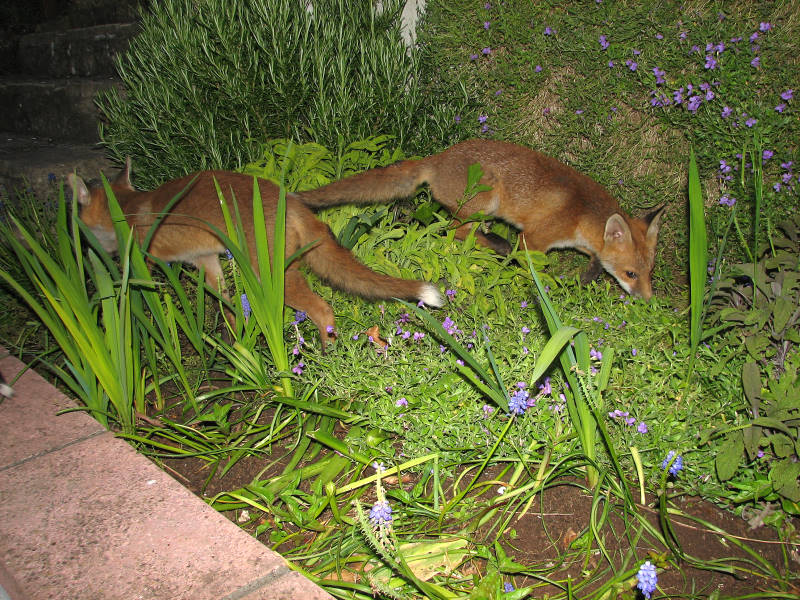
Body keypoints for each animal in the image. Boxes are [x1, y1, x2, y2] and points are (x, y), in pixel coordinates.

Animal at [67, 160, 443, 346]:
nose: (81, 242)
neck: (129, 209)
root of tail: (290, 198)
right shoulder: (206, 262)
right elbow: (228, 308)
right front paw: (239, 349)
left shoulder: (144, 259)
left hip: (272, 275)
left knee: (322, 310)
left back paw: (325, 358)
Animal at [297, 139, 666, 299]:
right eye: (631, 274)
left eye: (650, 273)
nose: (648, 301)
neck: (581, 214)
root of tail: (438, 157)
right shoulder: (535, 239)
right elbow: (533, 267)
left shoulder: (585, 246)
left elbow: (594, 263)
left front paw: (583, 280)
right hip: (485, 202)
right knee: (457, 231)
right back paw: (495, 245)